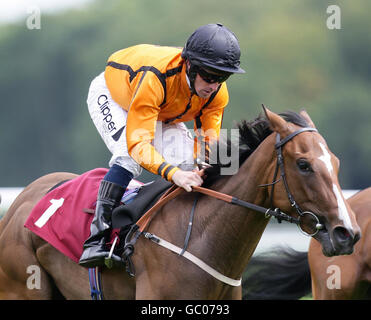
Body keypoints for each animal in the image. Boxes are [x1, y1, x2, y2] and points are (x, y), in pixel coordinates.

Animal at [0, 108, 362, 300]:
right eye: (304, 165)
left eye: (335, 162)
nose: (348, 233)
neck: (202, 236)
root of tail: (21, 202)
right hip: (24, 287)